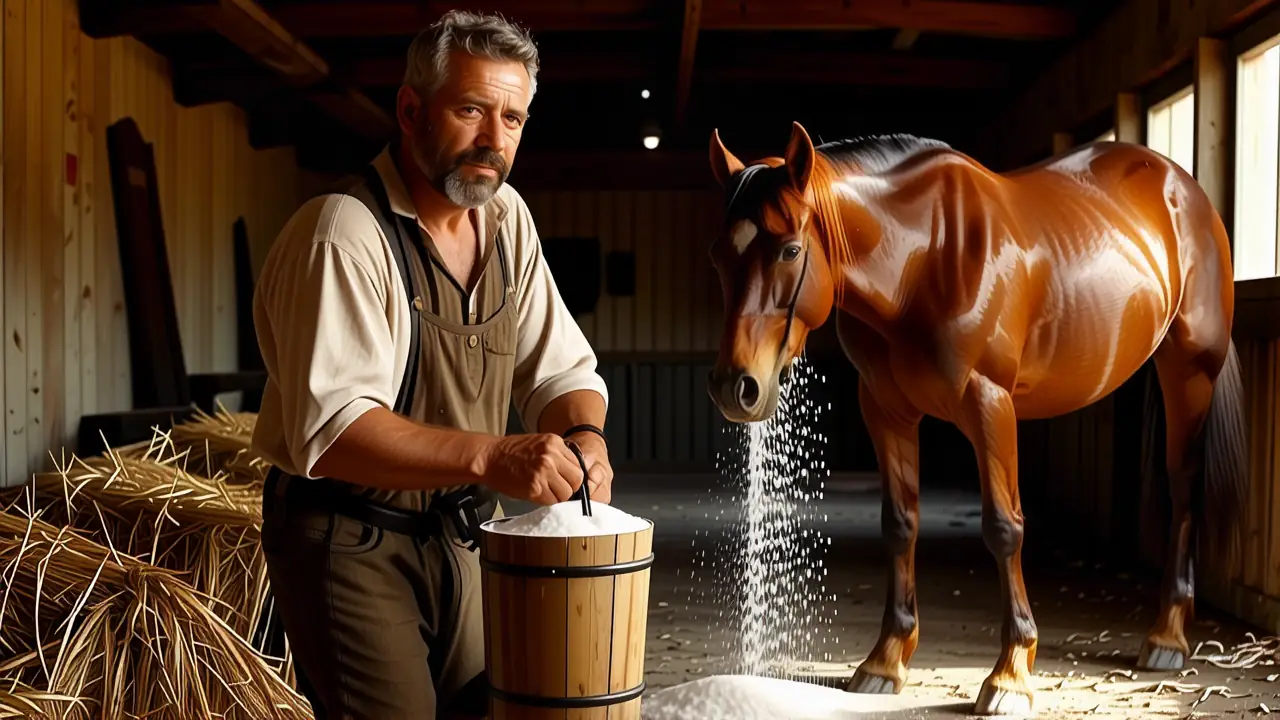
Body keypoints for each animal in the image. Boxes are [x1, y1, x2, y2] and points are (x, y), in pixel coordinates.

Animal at [704, 121, 1247, 715]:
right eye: (720, 257)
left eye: (790, 250)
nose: (736, 387)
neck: (926, 257)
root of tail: (1184, 191)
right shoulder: (886, 409)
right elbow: (899, 524)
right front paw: (885, 660)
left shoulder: (989, 404)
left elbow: (1003, 528)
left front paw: (1011, 674)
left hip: (1188, 370)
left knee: (1184, 489)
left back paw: (1167, 636)